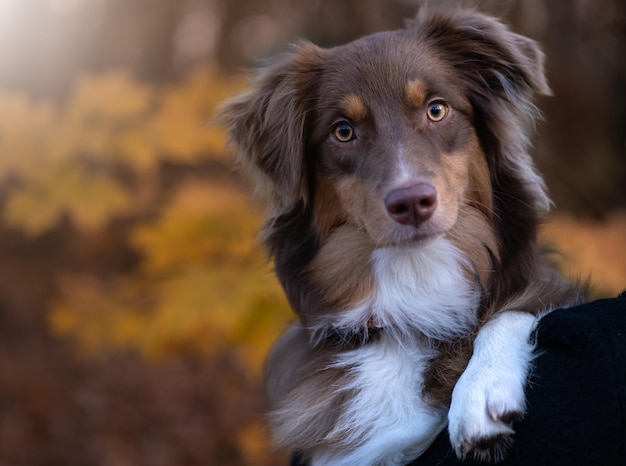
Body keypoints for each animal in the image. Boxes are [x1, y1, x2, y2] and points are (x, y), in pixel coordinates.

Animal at [221, 7, 584, 466]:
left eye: (436, 110)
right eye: (343, 131)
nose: (412, 202)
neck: (416, 284)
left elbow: (513, 310)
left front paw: (481, 392)